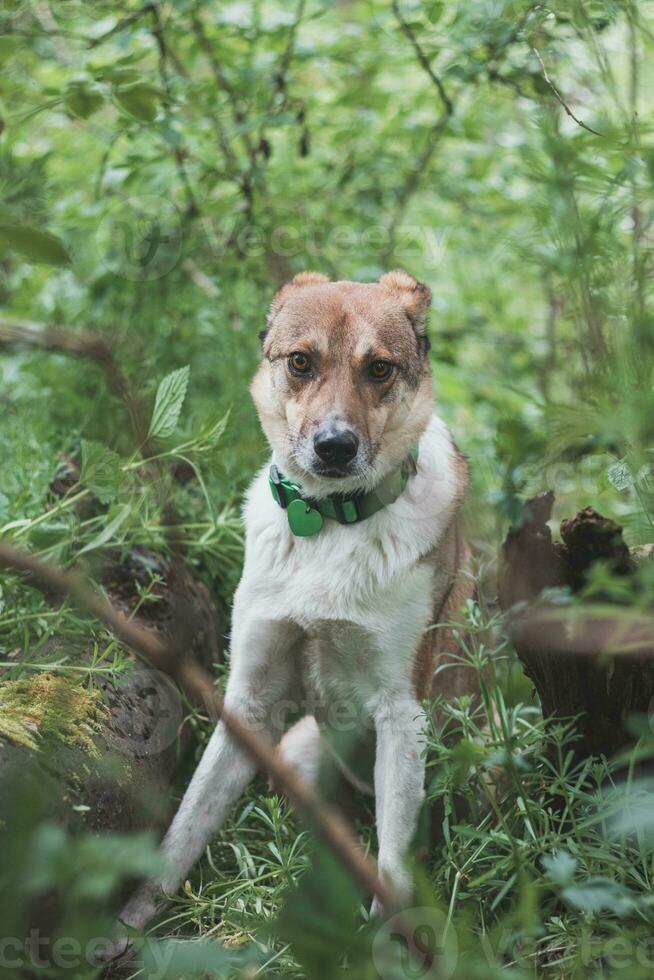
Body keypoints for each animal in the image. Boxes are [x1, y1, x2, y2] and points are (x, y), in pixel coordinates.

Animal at [113, 268, 474, 940]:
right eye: (301, 362)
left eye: (380, 369)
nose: (334, 446)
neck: (329, 521)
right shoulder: (250, 702)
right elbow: (185, 826)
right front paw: (127, 926)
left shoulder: (402, 714)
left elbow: (392, 872)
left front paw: (387, 949)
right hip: (300, 754)